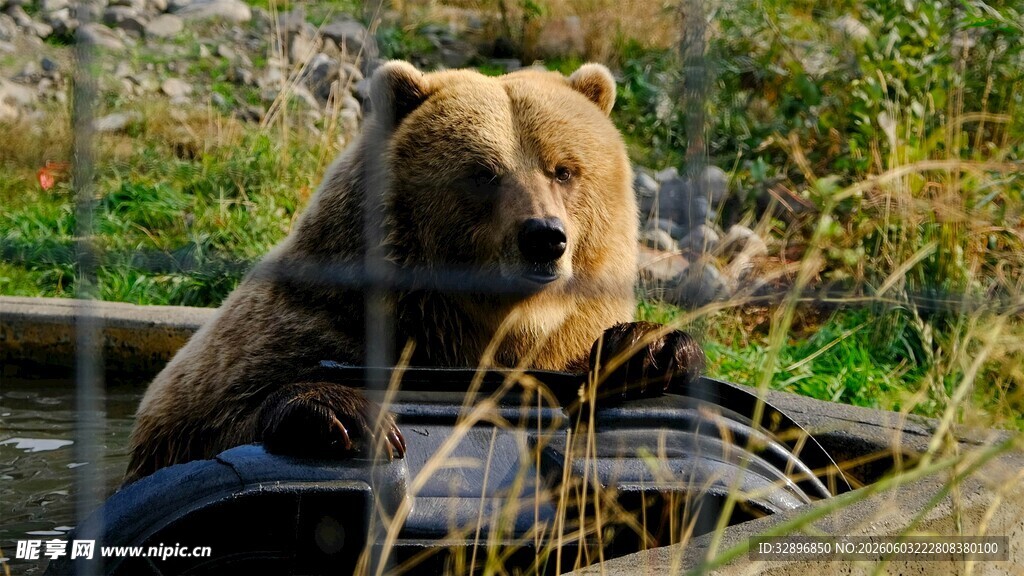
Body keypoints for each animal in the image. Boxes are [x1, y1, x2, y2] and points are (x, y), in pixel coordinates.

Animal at [123, 61, 705, 485]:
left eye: (564, 169)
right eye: (483, 173)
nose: (544, 237)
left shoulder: (566, 335)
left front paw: (651, 348)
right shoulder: (309, 322)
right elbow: (202, 426)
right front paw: (345, 415)